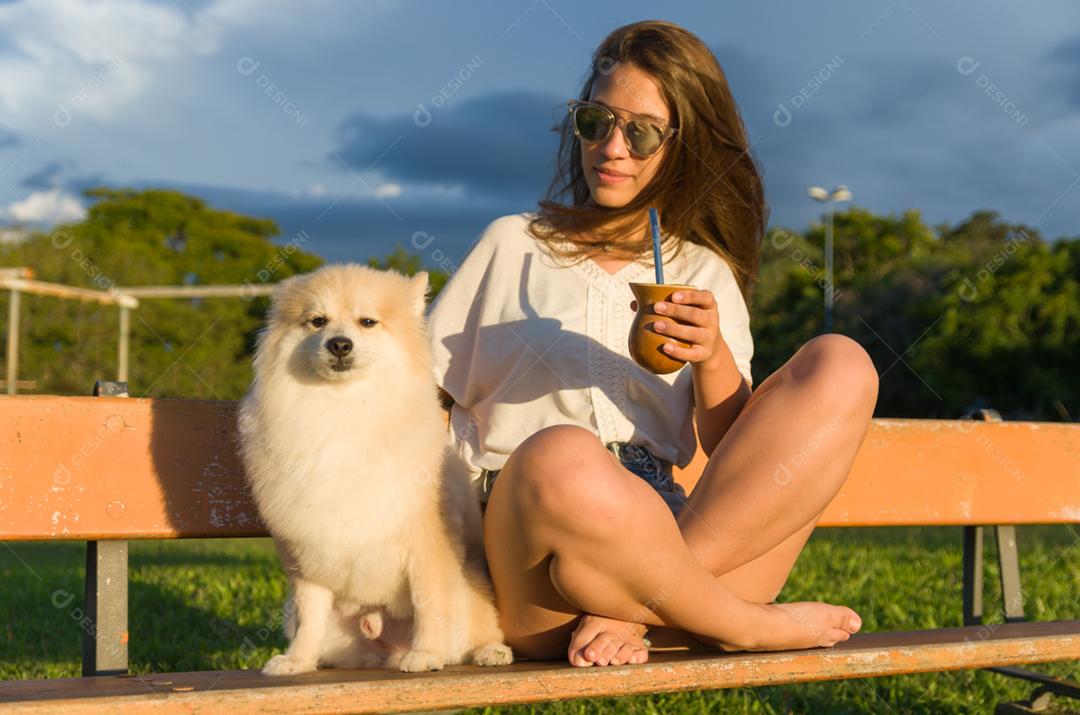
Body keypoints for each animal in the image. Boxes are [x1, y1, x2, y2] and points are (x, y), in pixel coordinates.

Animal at [239, 263, 514, 673]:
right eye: (317, 321)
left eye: (367, 322)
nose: (339, 344)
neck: (344, 408)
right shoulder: (305, 555)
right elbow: (309, 614)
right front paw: (297, 660)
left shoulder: (426, 546)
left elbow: (428, 603)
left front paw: (426, 653)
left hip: (469, 591)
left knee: (476, 627)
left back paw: (488, 651)